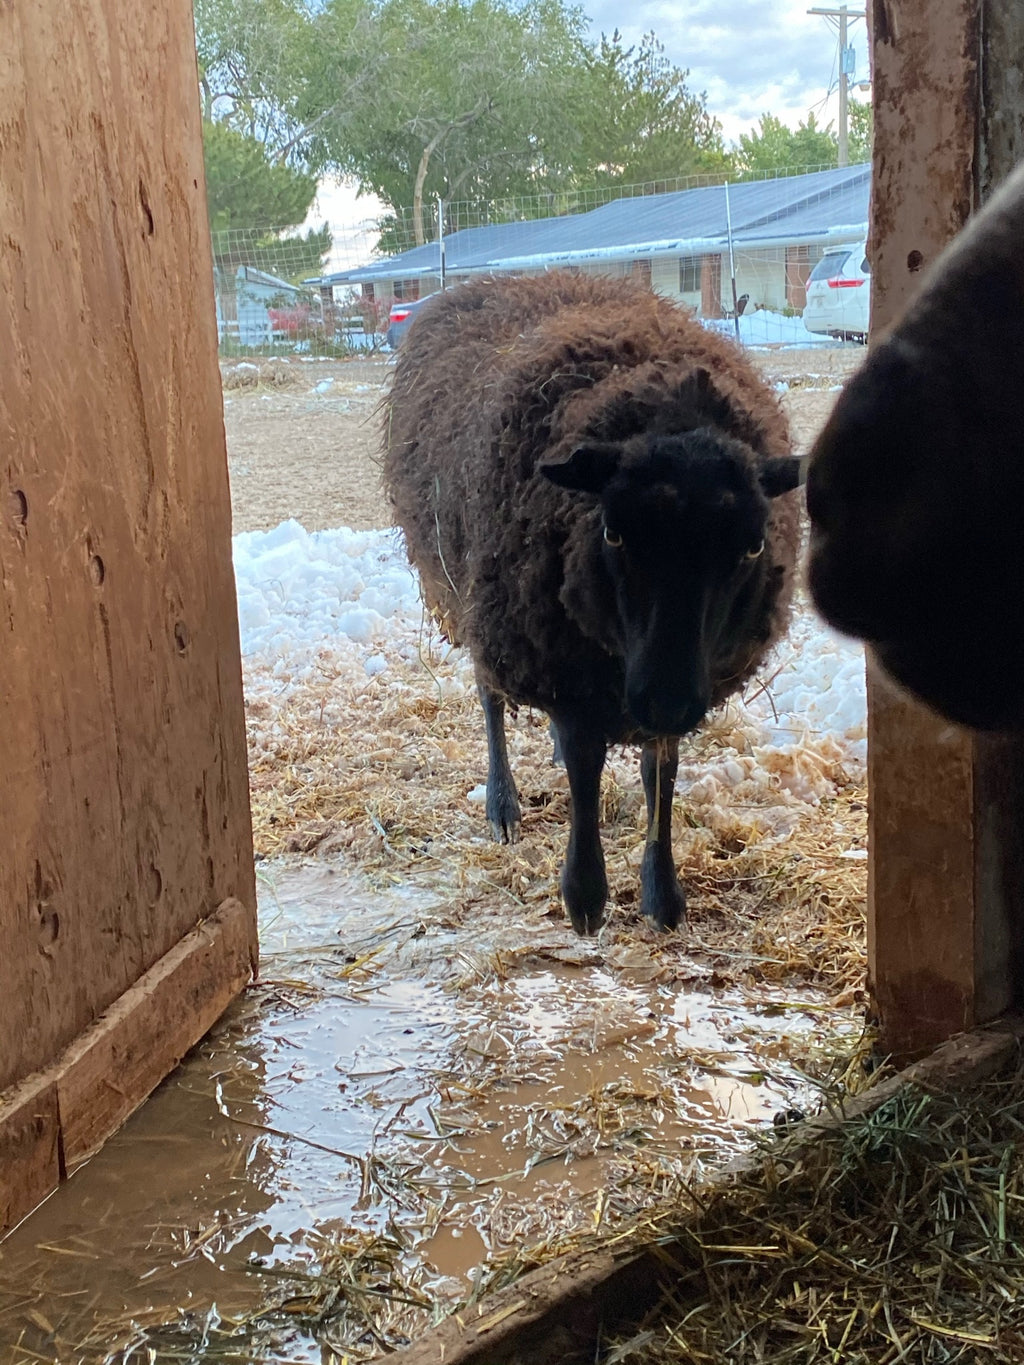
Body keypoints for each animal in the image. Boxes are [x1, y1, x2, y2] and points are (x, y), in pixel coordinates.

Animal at [383, 271, 802, 935]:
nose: (664, 699)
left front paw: (661, 894)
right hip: (480, 603)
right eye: (613, 533)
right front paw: (585, 895)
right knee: (491, 698)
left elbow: (661, 770)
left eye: (754, 545)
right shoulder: (559, 659)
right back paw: (503, 804)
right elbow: (584, 767)